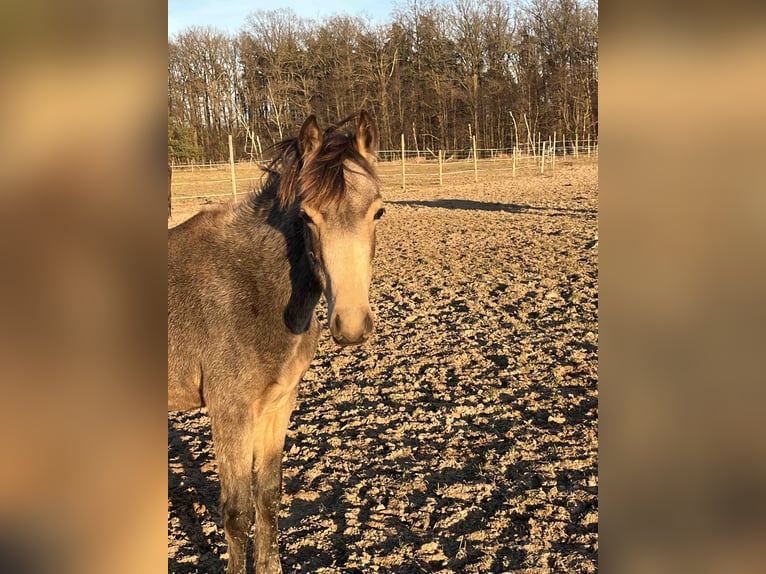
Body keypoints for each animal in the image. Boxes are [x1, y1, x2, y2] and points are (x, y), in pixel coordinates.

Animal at [168, 110, 384, 572]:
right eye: (307, 217)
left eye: (378, 212)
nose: (351, 325)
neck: (251, 288)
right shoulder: (229, 411)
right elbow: (236, 512)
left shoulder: (278, 403)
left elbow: (268, 496)